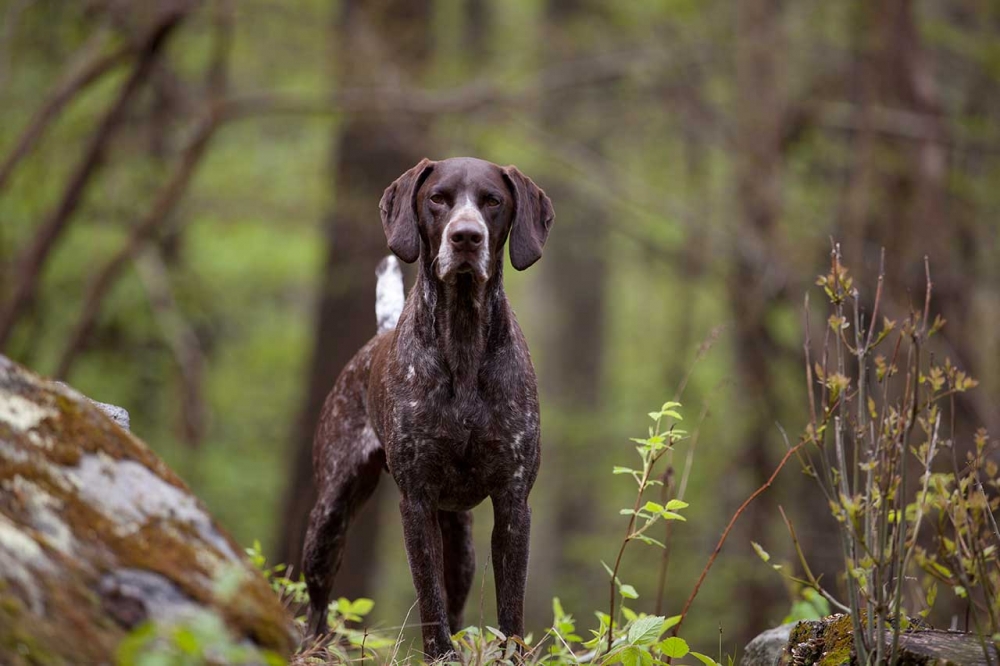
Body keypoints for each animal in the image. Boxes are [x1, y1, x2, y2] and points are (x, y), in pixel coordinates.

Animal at [302, 157, 556, 660]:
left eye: (492, 201)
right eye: (438, 198)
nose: (466, 237)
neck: (463, 338)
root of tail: (374, 340)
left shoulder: (513, 502)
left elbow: (510, 607)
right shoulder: (416, 503)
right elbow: (428, 599)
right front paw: (440, 656)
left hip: (461, 545)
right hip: (330, 516)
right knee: (316, 607)